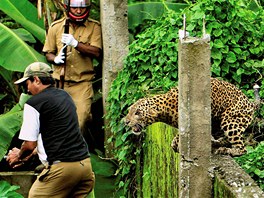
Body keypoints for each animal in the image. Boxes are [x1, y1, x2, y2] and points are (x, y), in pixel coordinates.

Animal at [125, 77, 256, 156]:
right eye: (129, 110)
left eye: (138, 113)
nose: (126, 121)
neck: (165, 110)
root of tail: (250, 103)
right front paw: (175, 144)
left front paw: (177, 144)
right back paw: (217, 143)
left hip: (229, 121)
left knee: (242, 148)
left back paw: (227, 150)